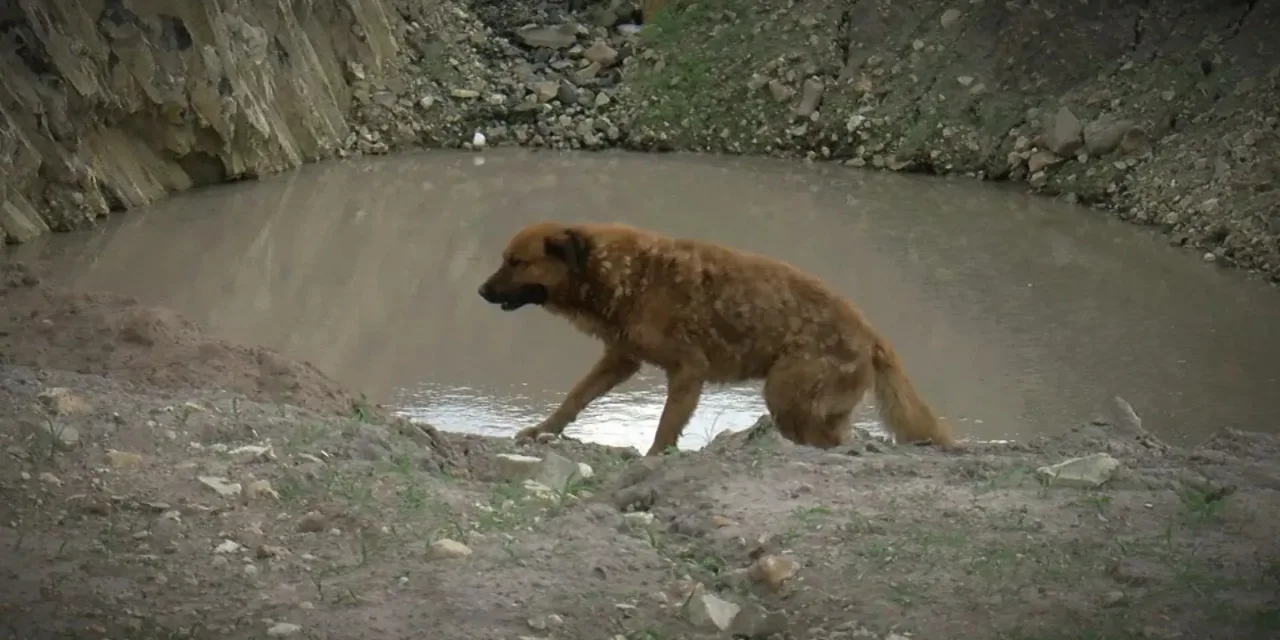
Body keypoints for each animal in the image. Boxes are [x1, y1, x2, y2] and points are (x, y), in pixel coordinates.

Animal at [481, 222, 962, 458]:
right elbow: (576, 397)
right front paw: (544, 429)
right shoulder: (620, 358)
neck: (621, 273)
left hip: (786, 397)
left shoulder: (687, 370)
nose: (481, 291)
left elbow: (666, 426)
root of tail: (872, 333)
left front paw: (655, 457)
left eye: (516, 262)